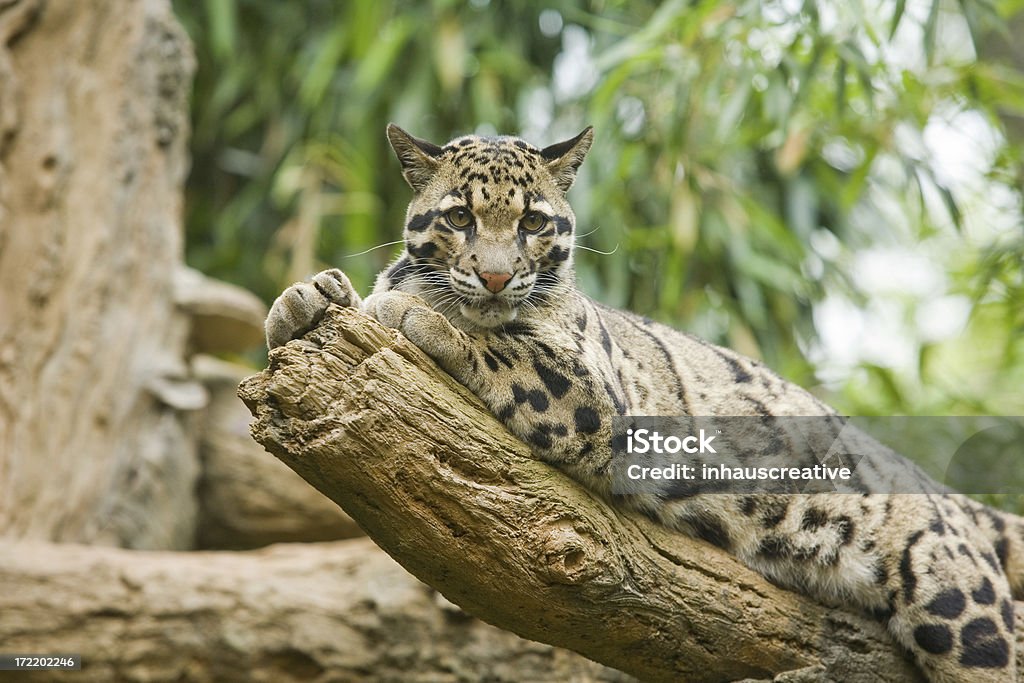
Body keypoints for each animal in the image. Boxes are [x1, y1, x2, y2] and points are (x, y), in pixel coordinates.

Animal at [266, 125, 1024, 679]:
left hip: (958, 605)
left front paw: (411, 313)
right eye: (458, 216)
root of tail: (942, 491)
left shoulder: (598, 398)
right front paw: (305, 298)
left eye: (533, 222)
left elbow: (499, 345)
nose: (496, 276)